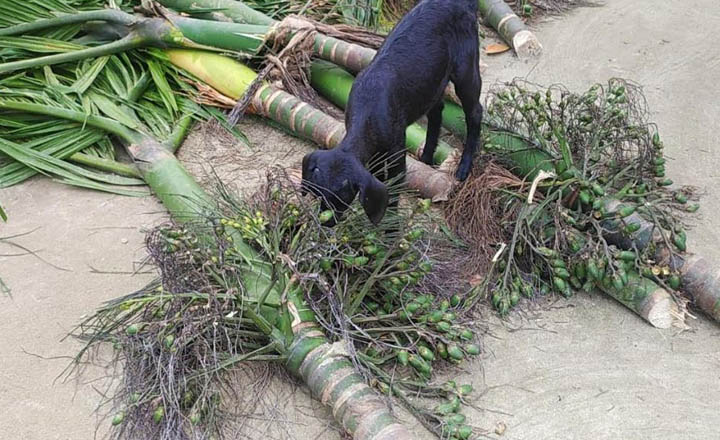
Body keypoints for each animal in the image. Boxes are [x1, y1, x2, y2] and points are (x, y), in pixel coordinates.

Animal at [300, 0, 480, 225]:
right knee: (436, 111)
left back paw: (464, 166)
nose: (326, 224)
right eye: (318, 195)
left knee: (475, 113)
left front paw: (390, 228)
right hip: (432, 81)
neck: (369, 112)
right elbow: (379, 178)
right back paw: (427, 156)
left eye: (342, 199)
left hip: (466, 68)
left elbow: (393, 188)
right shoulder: (375, 153)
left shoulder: (396, 151)